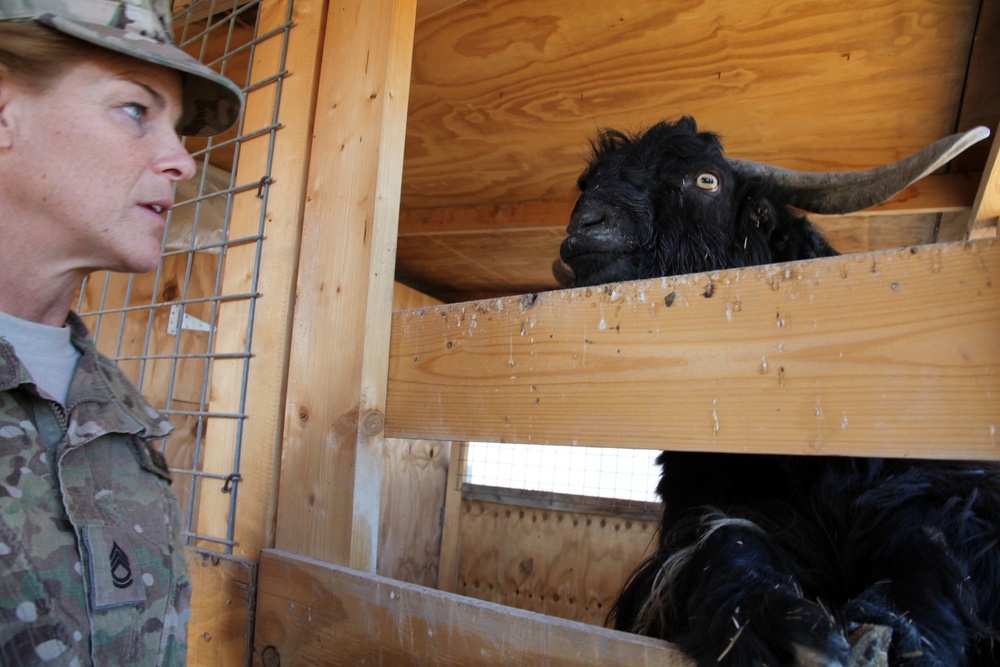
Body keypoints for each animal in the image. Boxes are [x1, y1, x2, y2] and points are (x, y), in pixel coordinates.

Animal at [556, 118, 1000, 667]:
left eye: (707, 180)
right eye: (587, 184)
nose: (585, 227)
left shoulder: (955, 490)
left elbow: (928, 540)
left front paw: (895, 634)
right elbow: (728, 540)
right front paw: (788, 630)